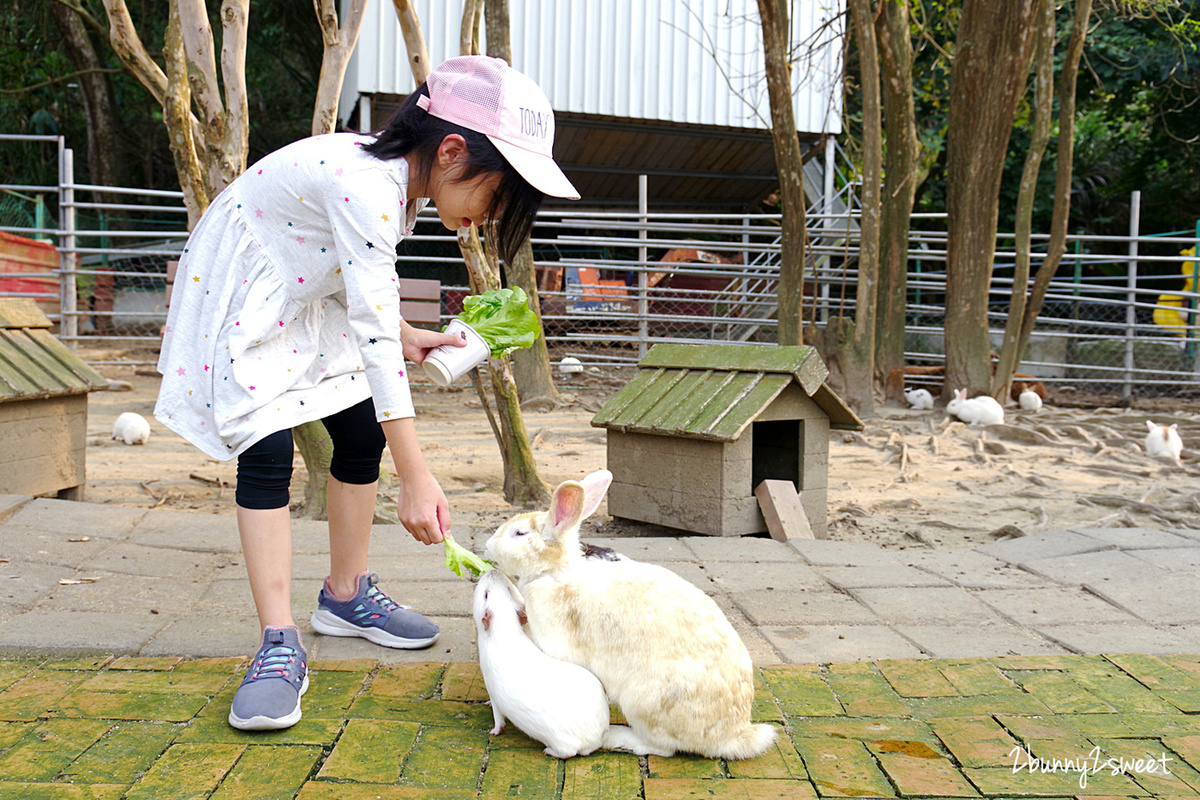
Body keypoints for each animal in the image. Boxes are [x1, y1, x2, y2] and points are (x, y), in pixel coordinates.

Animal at [484, 472, 777, 762]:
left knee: (663, 748)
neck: (554, 573)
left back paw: (618, 738)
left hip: (643, 705)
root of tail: (731, 737)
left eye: (519, 533)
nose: (487, 547)